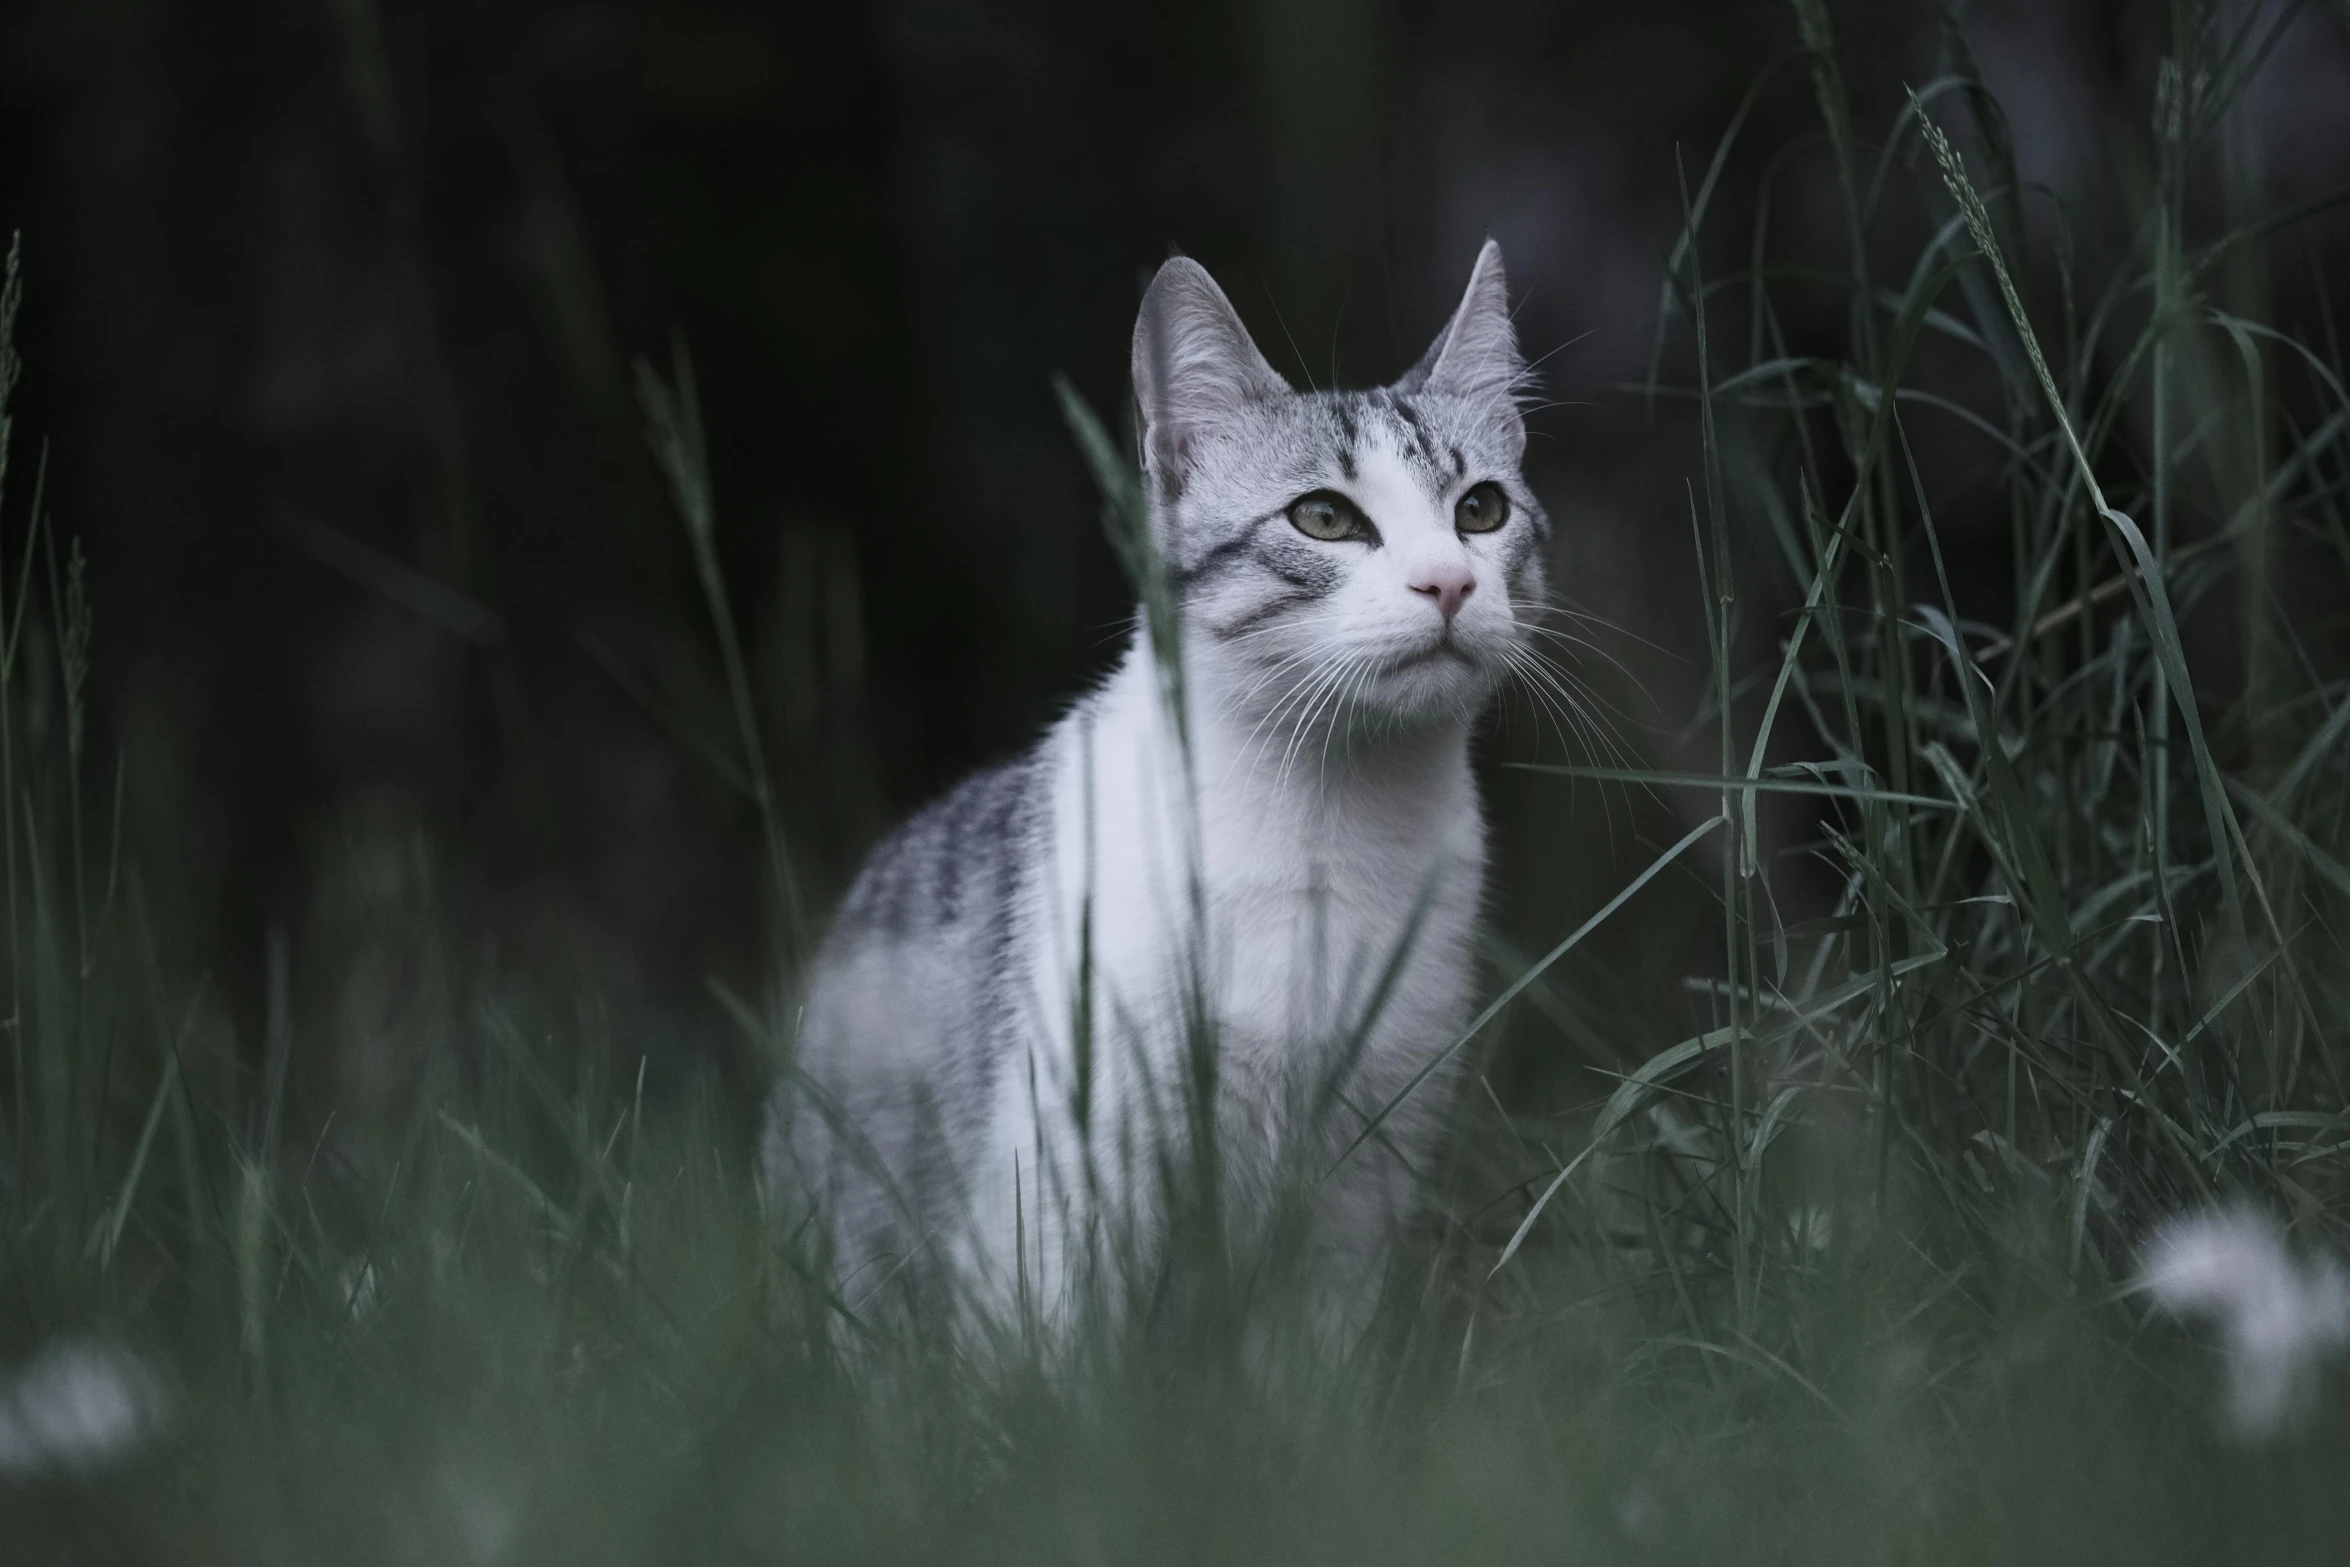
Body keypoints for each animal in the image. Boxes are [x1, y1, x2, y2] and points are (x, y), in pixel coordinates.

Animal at [761, 239, 1550, 1343]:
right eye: (1324, 517)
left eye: (1480, 508)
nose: (1449, 582)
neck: (1327, 818)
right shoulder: (1055, 1184)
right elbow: (1057, 1360)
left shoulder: (1363, 1175)